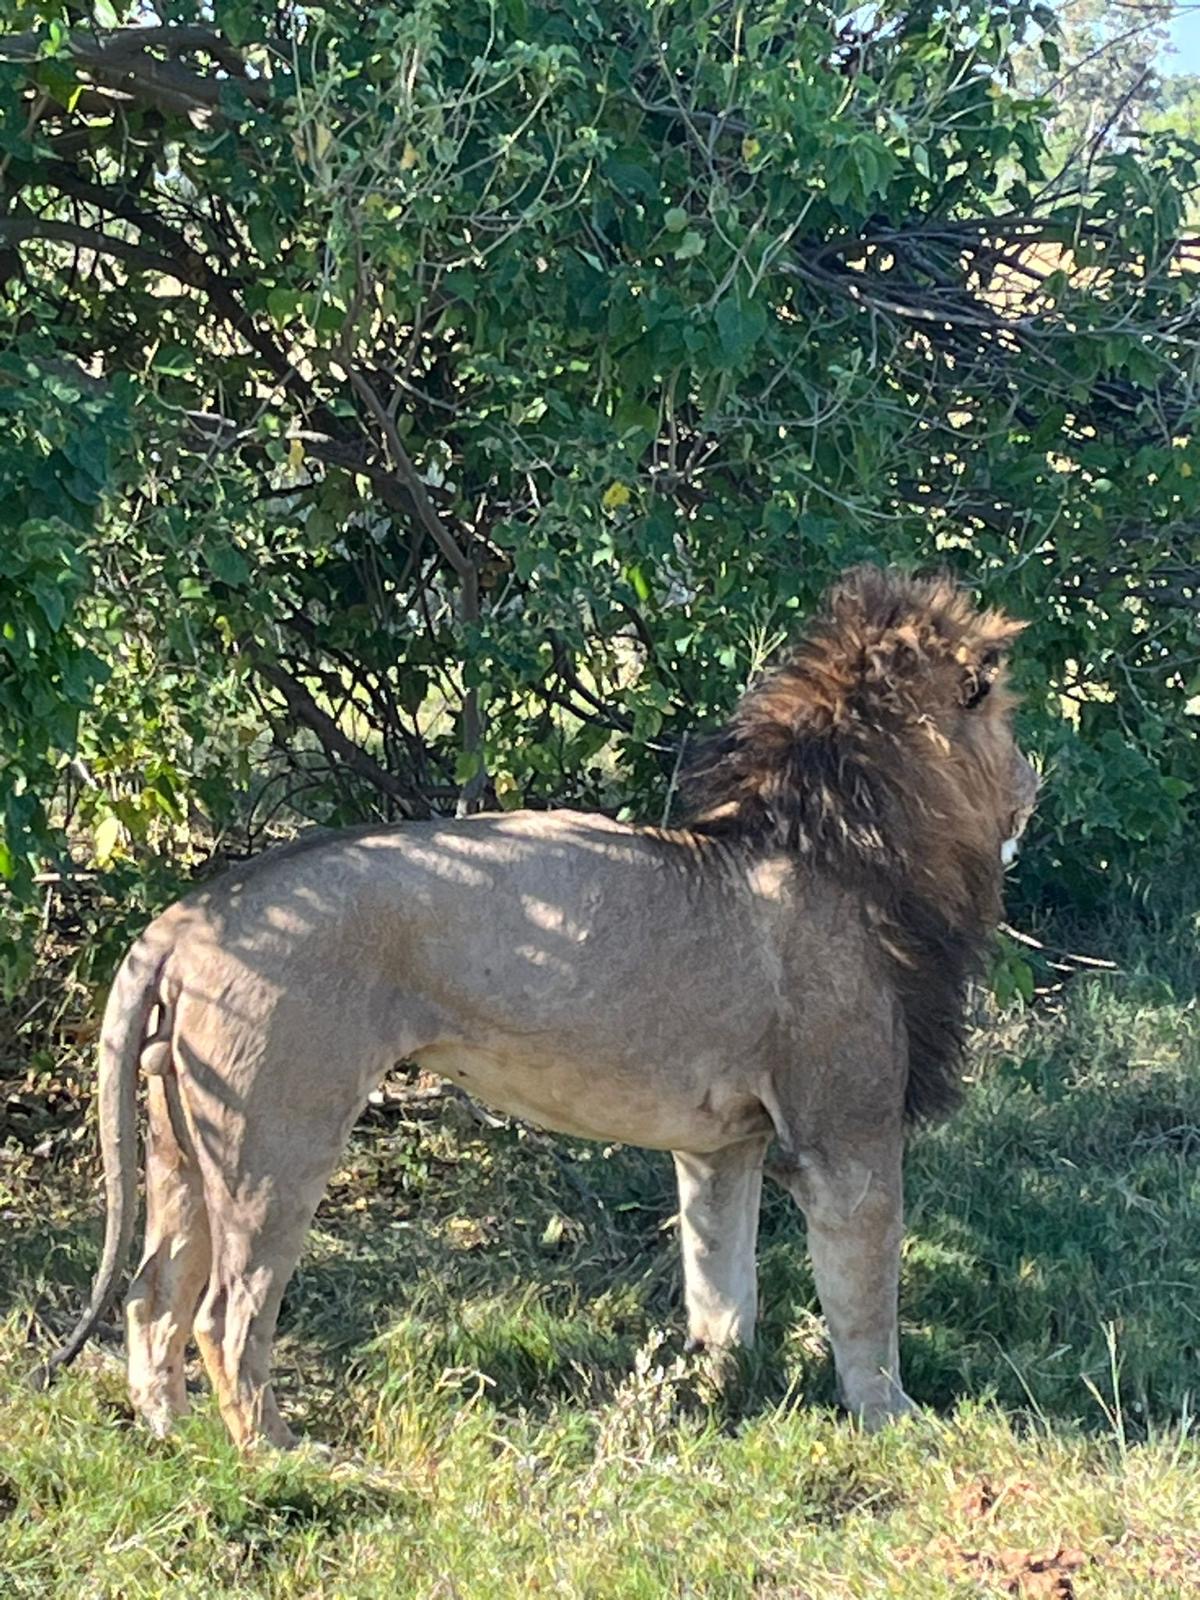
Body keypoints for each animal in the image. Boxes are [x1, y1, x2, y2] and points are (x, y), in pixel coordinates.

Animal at [42, 566, 1037, 1447]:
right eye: (1005, 715)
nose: (1035, 778)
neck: (844, 845)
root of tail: (183, 920)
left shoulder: (721, 1147)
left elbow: (723, 1285)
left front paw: (722, 1389)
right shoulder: (846, 1135)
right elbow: (867, 1296)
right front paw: (895, 1420)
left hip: (182, 1143)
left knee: (152, 1294)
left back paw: (171, 1434)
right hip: (276, 1139)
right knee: (228, 1314)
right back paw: (282, 1456)